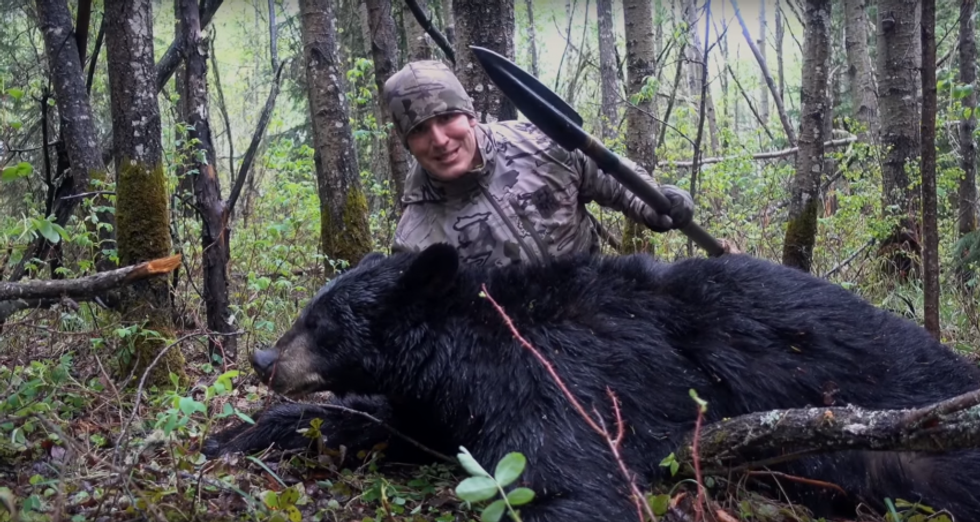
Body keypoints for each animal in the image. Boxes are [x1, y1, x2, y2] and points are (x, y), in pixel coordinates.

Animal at [205, 243, 980, 521]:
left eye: (323, 321)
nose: (263, 360)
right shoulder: (441, 401)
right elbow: (385, 421)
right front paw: (236, 433)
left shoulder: (569, 372)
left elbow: (575, 479)